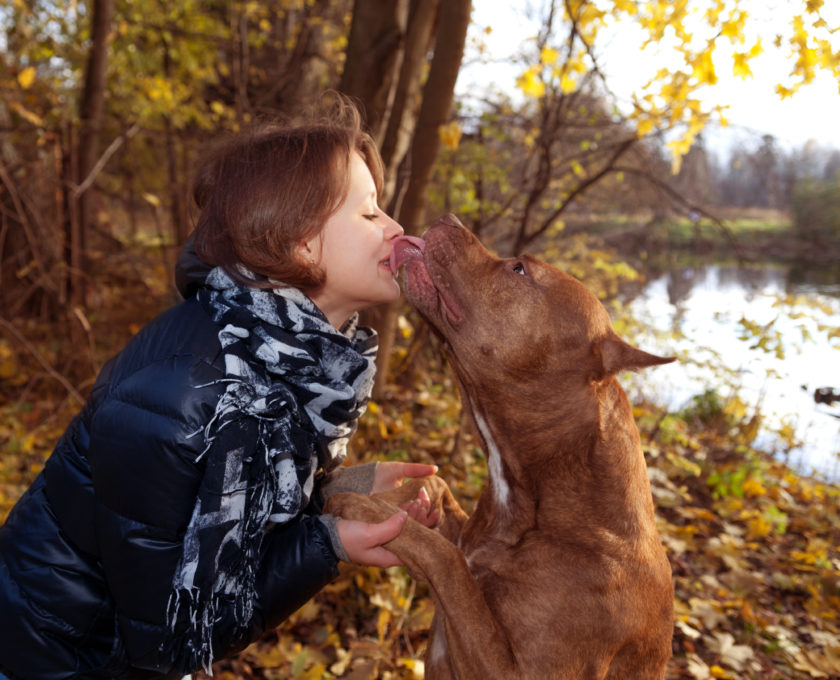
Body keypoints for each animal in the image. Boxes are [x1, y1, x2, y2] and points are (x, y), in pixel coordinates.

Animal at [328, 215, 676, 676]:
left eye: (519, 269)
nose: (450, 219)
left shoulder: (514, 669)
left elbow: (450, 562)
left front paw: (369, 510)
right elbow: (437, 492)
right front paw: (400, 500)